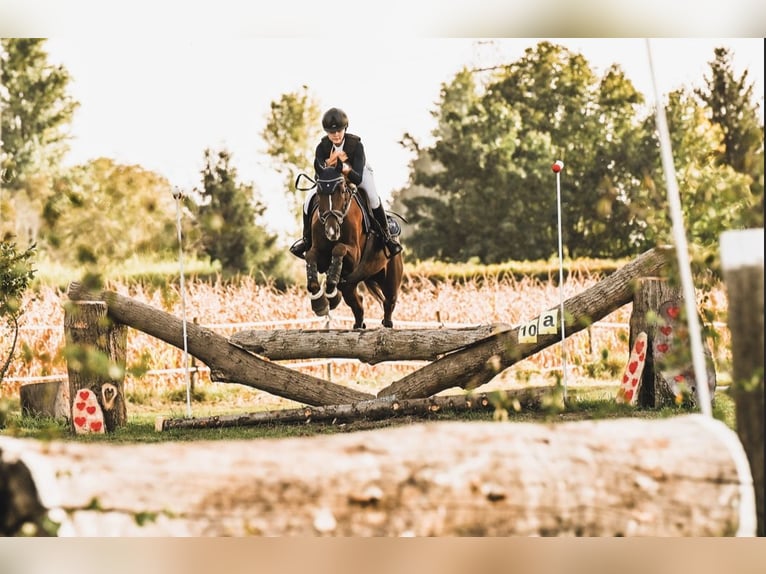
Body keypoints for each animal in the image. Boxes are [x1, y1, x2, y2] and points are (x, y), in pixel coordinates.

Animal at [296, 164, 404, 330]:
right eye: (319, 192)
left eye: (342, 191)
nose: (331, 232)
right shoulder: (319, 254)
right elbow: (311, 256)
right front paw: (321, 302)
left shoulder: (354, 256)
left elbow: (339, 248)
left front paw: (331, 291)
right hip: (351, 284)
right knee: (357, 303)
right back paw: (357, 323)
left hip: (390, 279)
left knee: (388, 303)